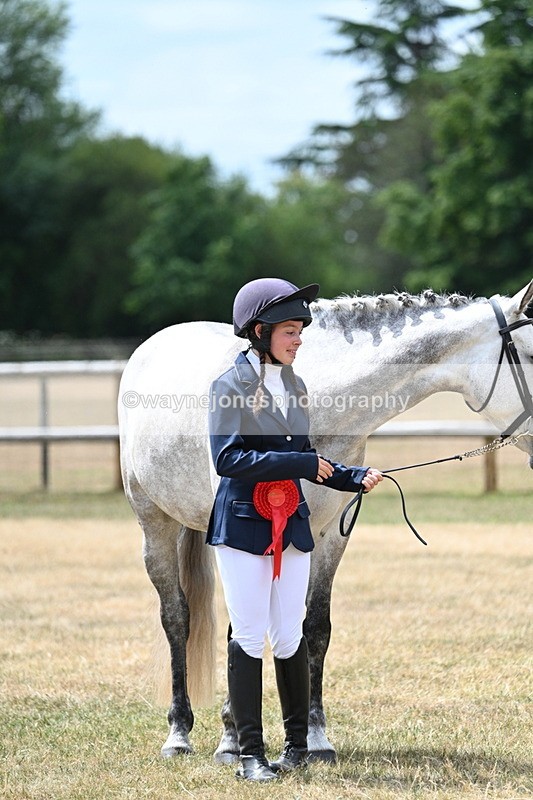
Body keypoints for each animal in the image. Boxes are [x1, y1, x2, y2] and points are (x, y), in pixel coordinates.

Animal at [118, 281, 533, 763]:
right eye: (527, 353)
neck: (321, 402)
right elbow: (241, 627)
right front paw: (232, 739)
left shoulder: (327, 537)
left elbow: (314, 629)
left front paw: (315, 738)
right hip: (155, 526)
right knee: (176, 619)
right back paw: (179, 733)